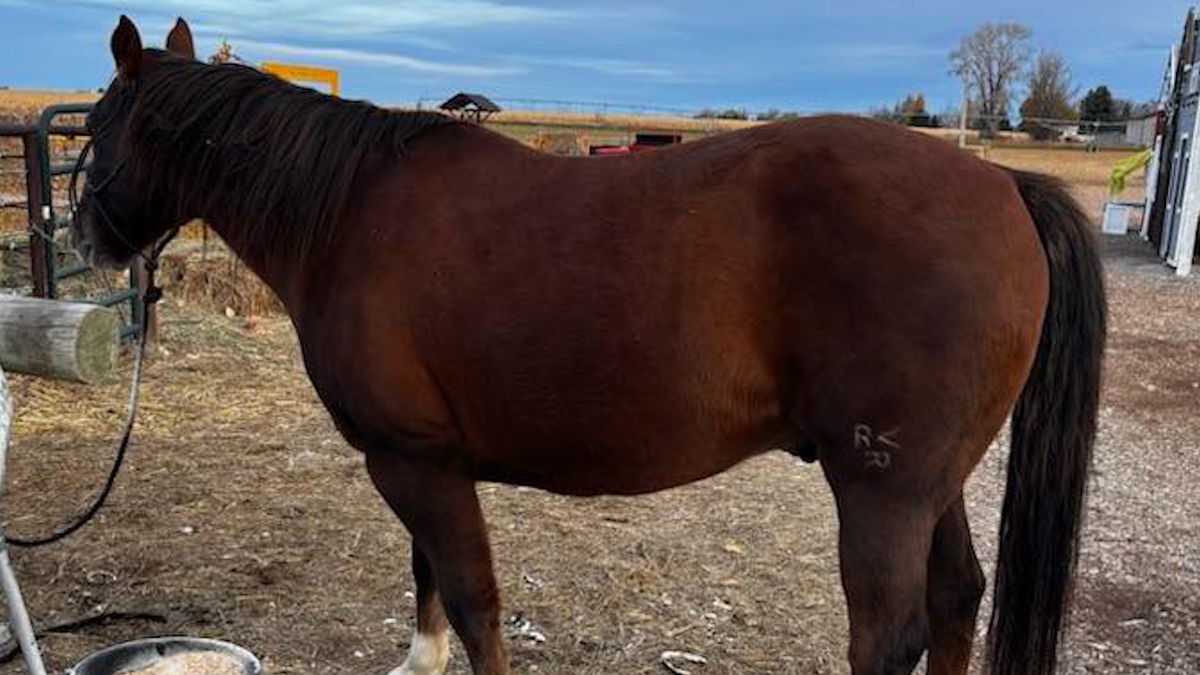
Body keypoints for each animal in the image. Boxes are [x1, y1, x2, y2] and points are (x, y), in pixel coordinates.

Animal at [73, 16, 1105, 675]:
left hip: (881, 490)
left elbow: (473, 600)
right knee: (958, 600)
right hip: (929, 481)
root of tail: (1003, 183)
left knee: (889, 636)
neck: (352, 216)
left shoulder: (414, 461)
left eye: (98, 127)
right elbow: (430, 580)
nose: (86, 237)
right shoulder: (421, 459)